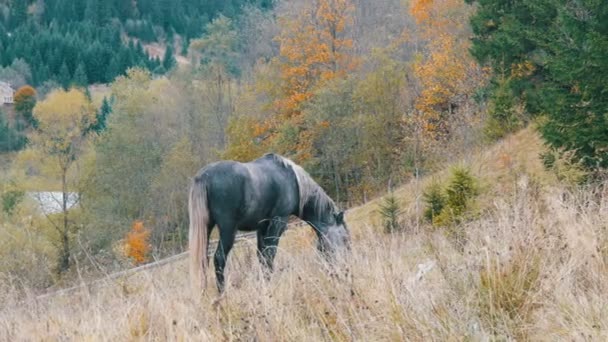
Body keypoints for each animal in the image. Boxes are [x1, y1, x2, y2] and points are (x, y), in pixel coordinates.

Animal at [188, 154, 350, 292]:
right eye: (344, 238)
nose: (346, 266)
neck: (294, 181)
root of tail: (203, 176)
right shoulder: (279, 221)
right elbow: (270, 254)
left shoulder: (262, 227)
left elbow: (262, 256)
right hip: (228, 230)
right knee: (219, 258)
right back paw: (222, 295)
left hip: (207, 229)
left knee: (203, 260)